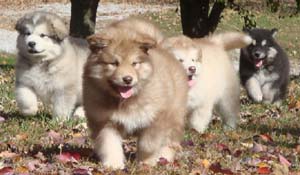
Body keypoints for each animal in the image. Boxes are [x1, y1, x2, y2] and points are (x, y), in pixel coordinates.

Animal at [82, 17, 188, 168]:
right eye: (114, 63)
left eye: (134, 63)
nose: (127, 79)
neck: (126, 101)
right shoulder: (106, 122)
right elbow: (109, 144)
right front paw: (113, 165)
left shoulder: (156, 119)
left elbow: (148, 144)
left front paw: (146, 163)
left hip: (174, 115)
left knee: (170, 140)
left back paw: (164, 158)